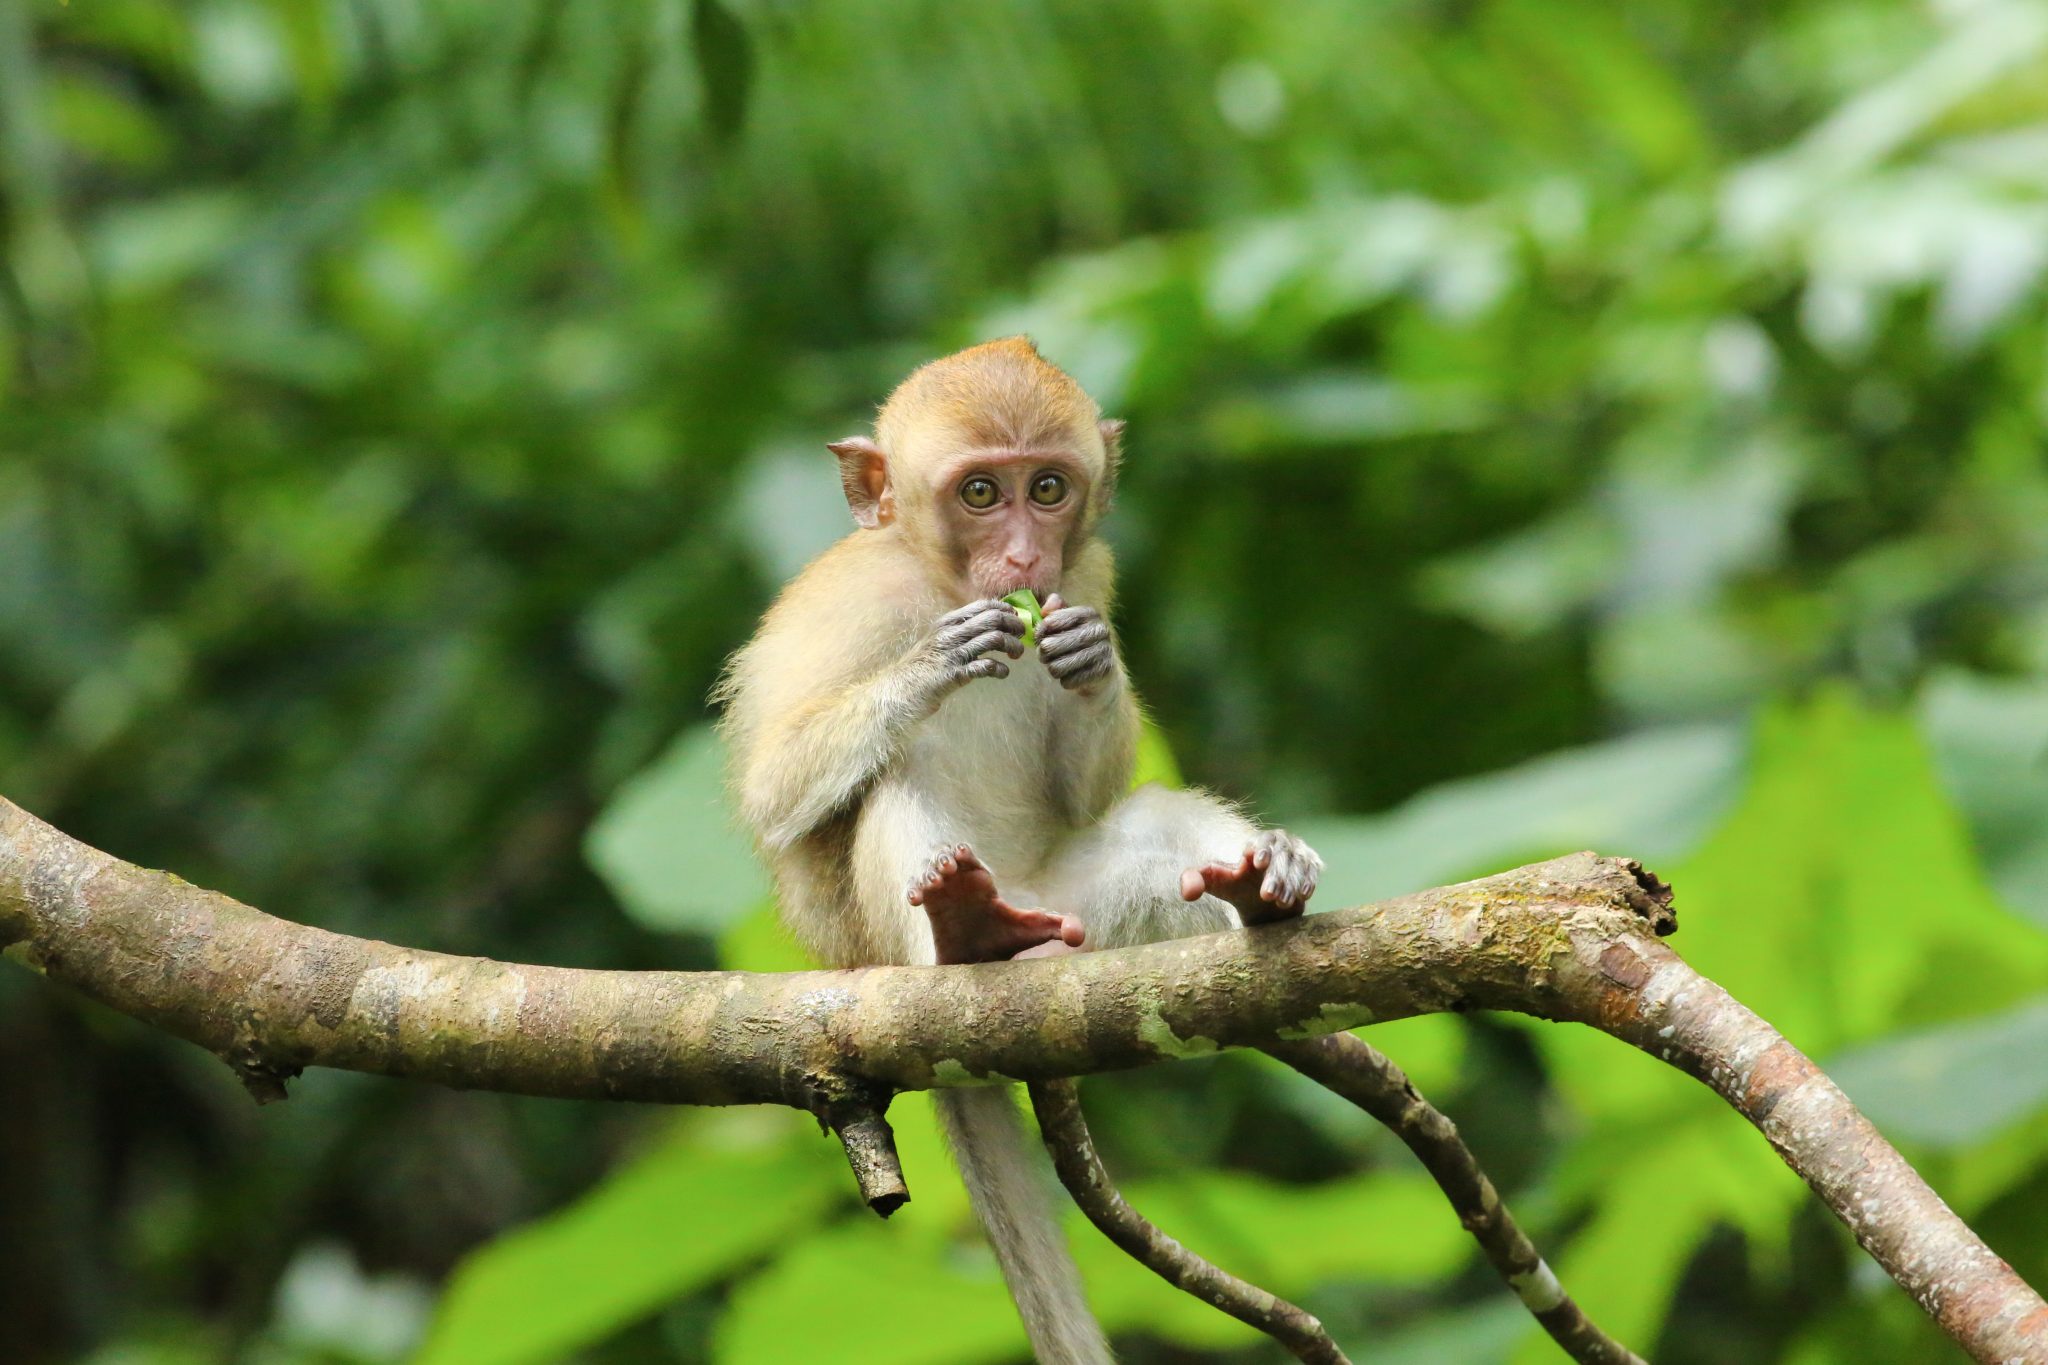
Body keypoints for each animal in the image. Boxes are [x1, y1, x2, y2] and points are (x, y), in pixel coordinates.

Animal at [716, 337, 1322, 1364]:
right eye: (979, 493)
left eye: (1046, 487)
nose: (1025, 557)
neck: (941, 582)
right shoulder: (852, 604)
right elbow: (773, 791)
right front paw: (935, 662)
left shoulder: (1092, 572)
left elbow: (1092, 789)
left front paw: (1092, 659)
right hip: (891, 935)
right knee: (894, 785)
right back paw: (964, 932)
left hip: (1077, 913)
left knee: (1153, 825)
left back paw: (1258, 890)